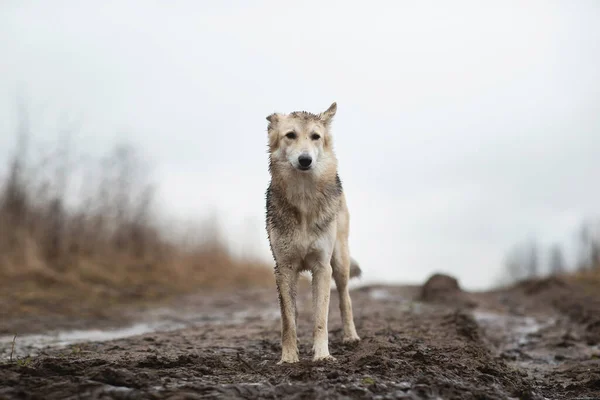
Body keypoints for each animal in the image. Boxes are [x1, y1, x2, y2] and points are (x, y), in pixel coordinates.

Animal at [266, 101, 360, 364]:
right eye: (290, 135)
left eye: (315, 137)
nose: (305, 160)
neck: (304, 199)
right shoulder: (284, 268)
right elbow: (288, 320)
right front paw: (288, 358)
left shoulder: (322, 267)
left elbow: (320, 318)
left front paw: (322, 355)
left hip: (340, 263)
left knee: (345, 299)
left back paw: (351, 336)